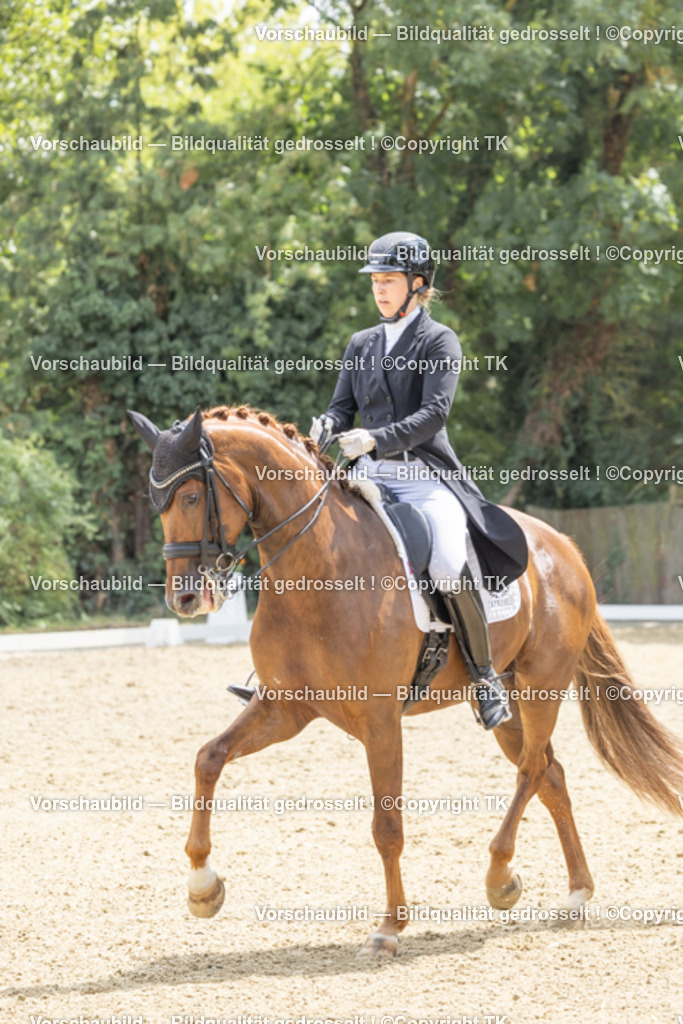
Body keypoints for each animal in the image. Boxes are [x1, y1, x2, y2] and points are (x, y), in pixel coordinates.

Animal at [129, 403, 683, 958]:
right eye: (157, 503)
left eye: (192, 496)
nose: (184, 599)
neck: (318, 566)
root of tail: (563, 546)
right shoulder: (286, 708)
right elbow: (209, 758)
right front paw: (203, 886)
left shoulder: (379, 721)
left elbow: (387, 826)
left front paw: (390, 928)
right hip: (508, 703)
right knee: (551, 774)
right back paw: (575, 894)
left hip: (542, 683)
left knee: (530, 771)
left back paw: (500, 877)